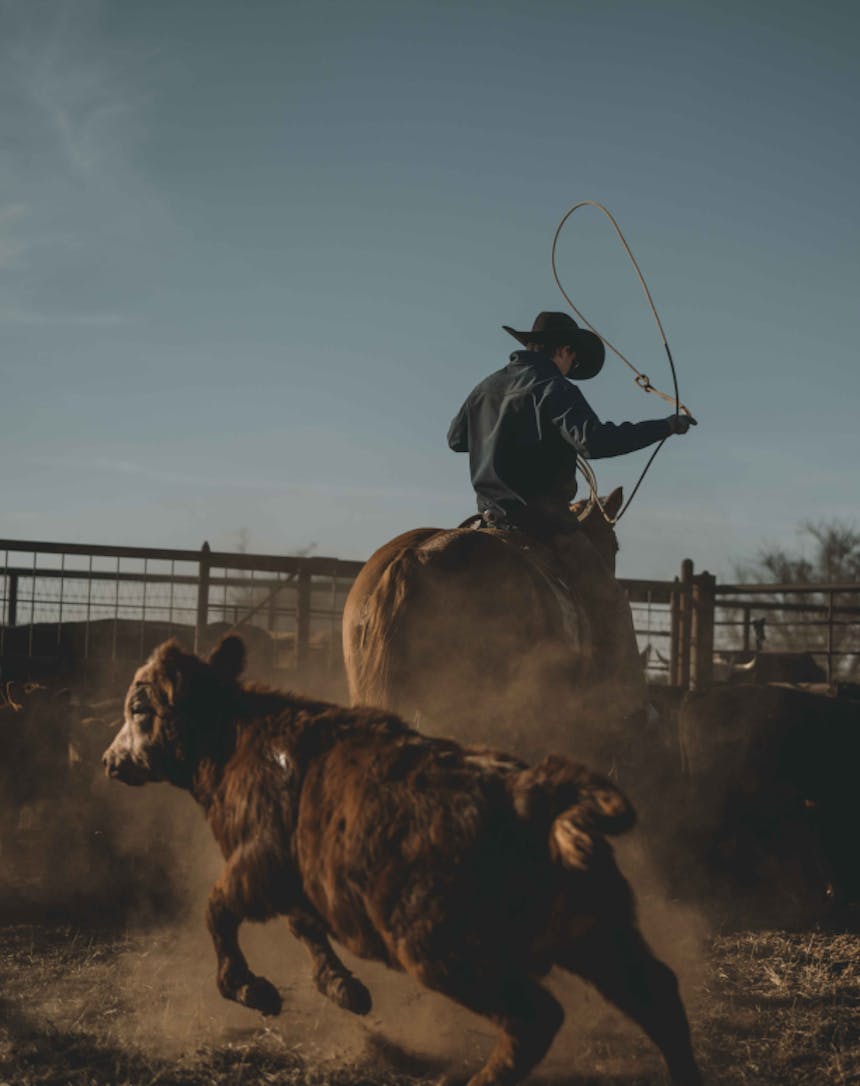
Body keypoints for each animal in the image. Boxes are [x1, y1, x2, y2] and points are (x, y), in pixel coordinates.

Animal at [104, 634, 703, 1086]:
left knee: (535, 1019)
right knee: (657, 995)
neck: (235, 740)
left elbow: (219, 913)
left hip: (445, 951)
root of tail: (530, 793)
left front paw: (252, 989)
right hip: (598, 935)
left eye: (140, 709)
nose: (110, 760)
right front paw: (343, 988)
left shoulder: (257, 865)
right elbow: (305, 927)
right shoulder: (299, 881)